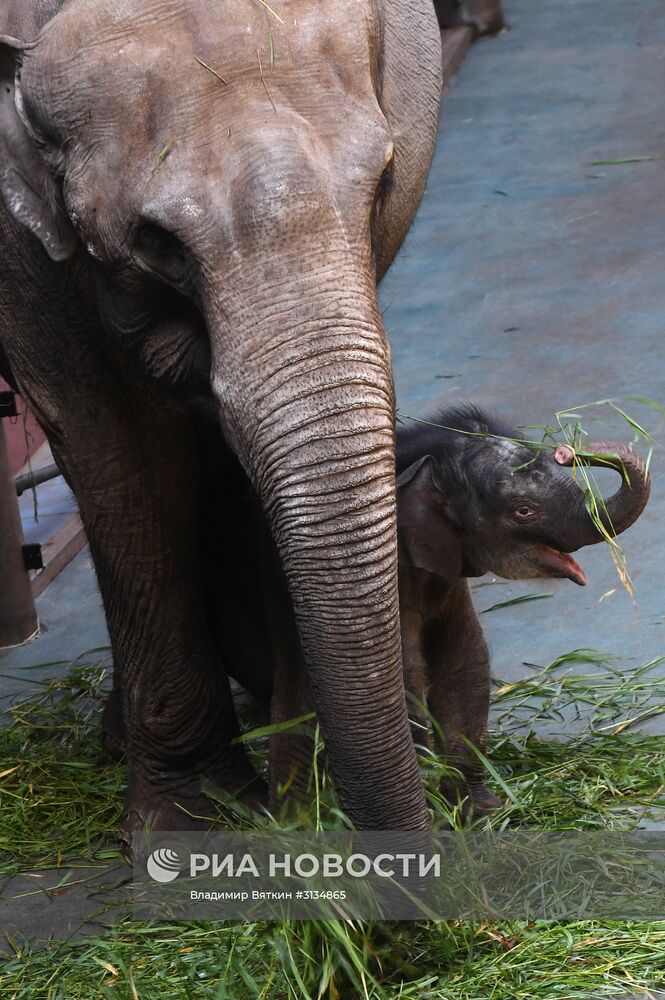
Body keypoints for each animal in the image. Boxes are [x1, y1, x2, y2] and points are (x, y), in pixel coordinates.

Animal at [394, 406, 648, 812]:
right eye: (524, 511)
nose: (566, 451)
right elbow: (406, 680)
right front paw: (438, 812)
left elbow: (465, 660)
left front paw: (481, 809)